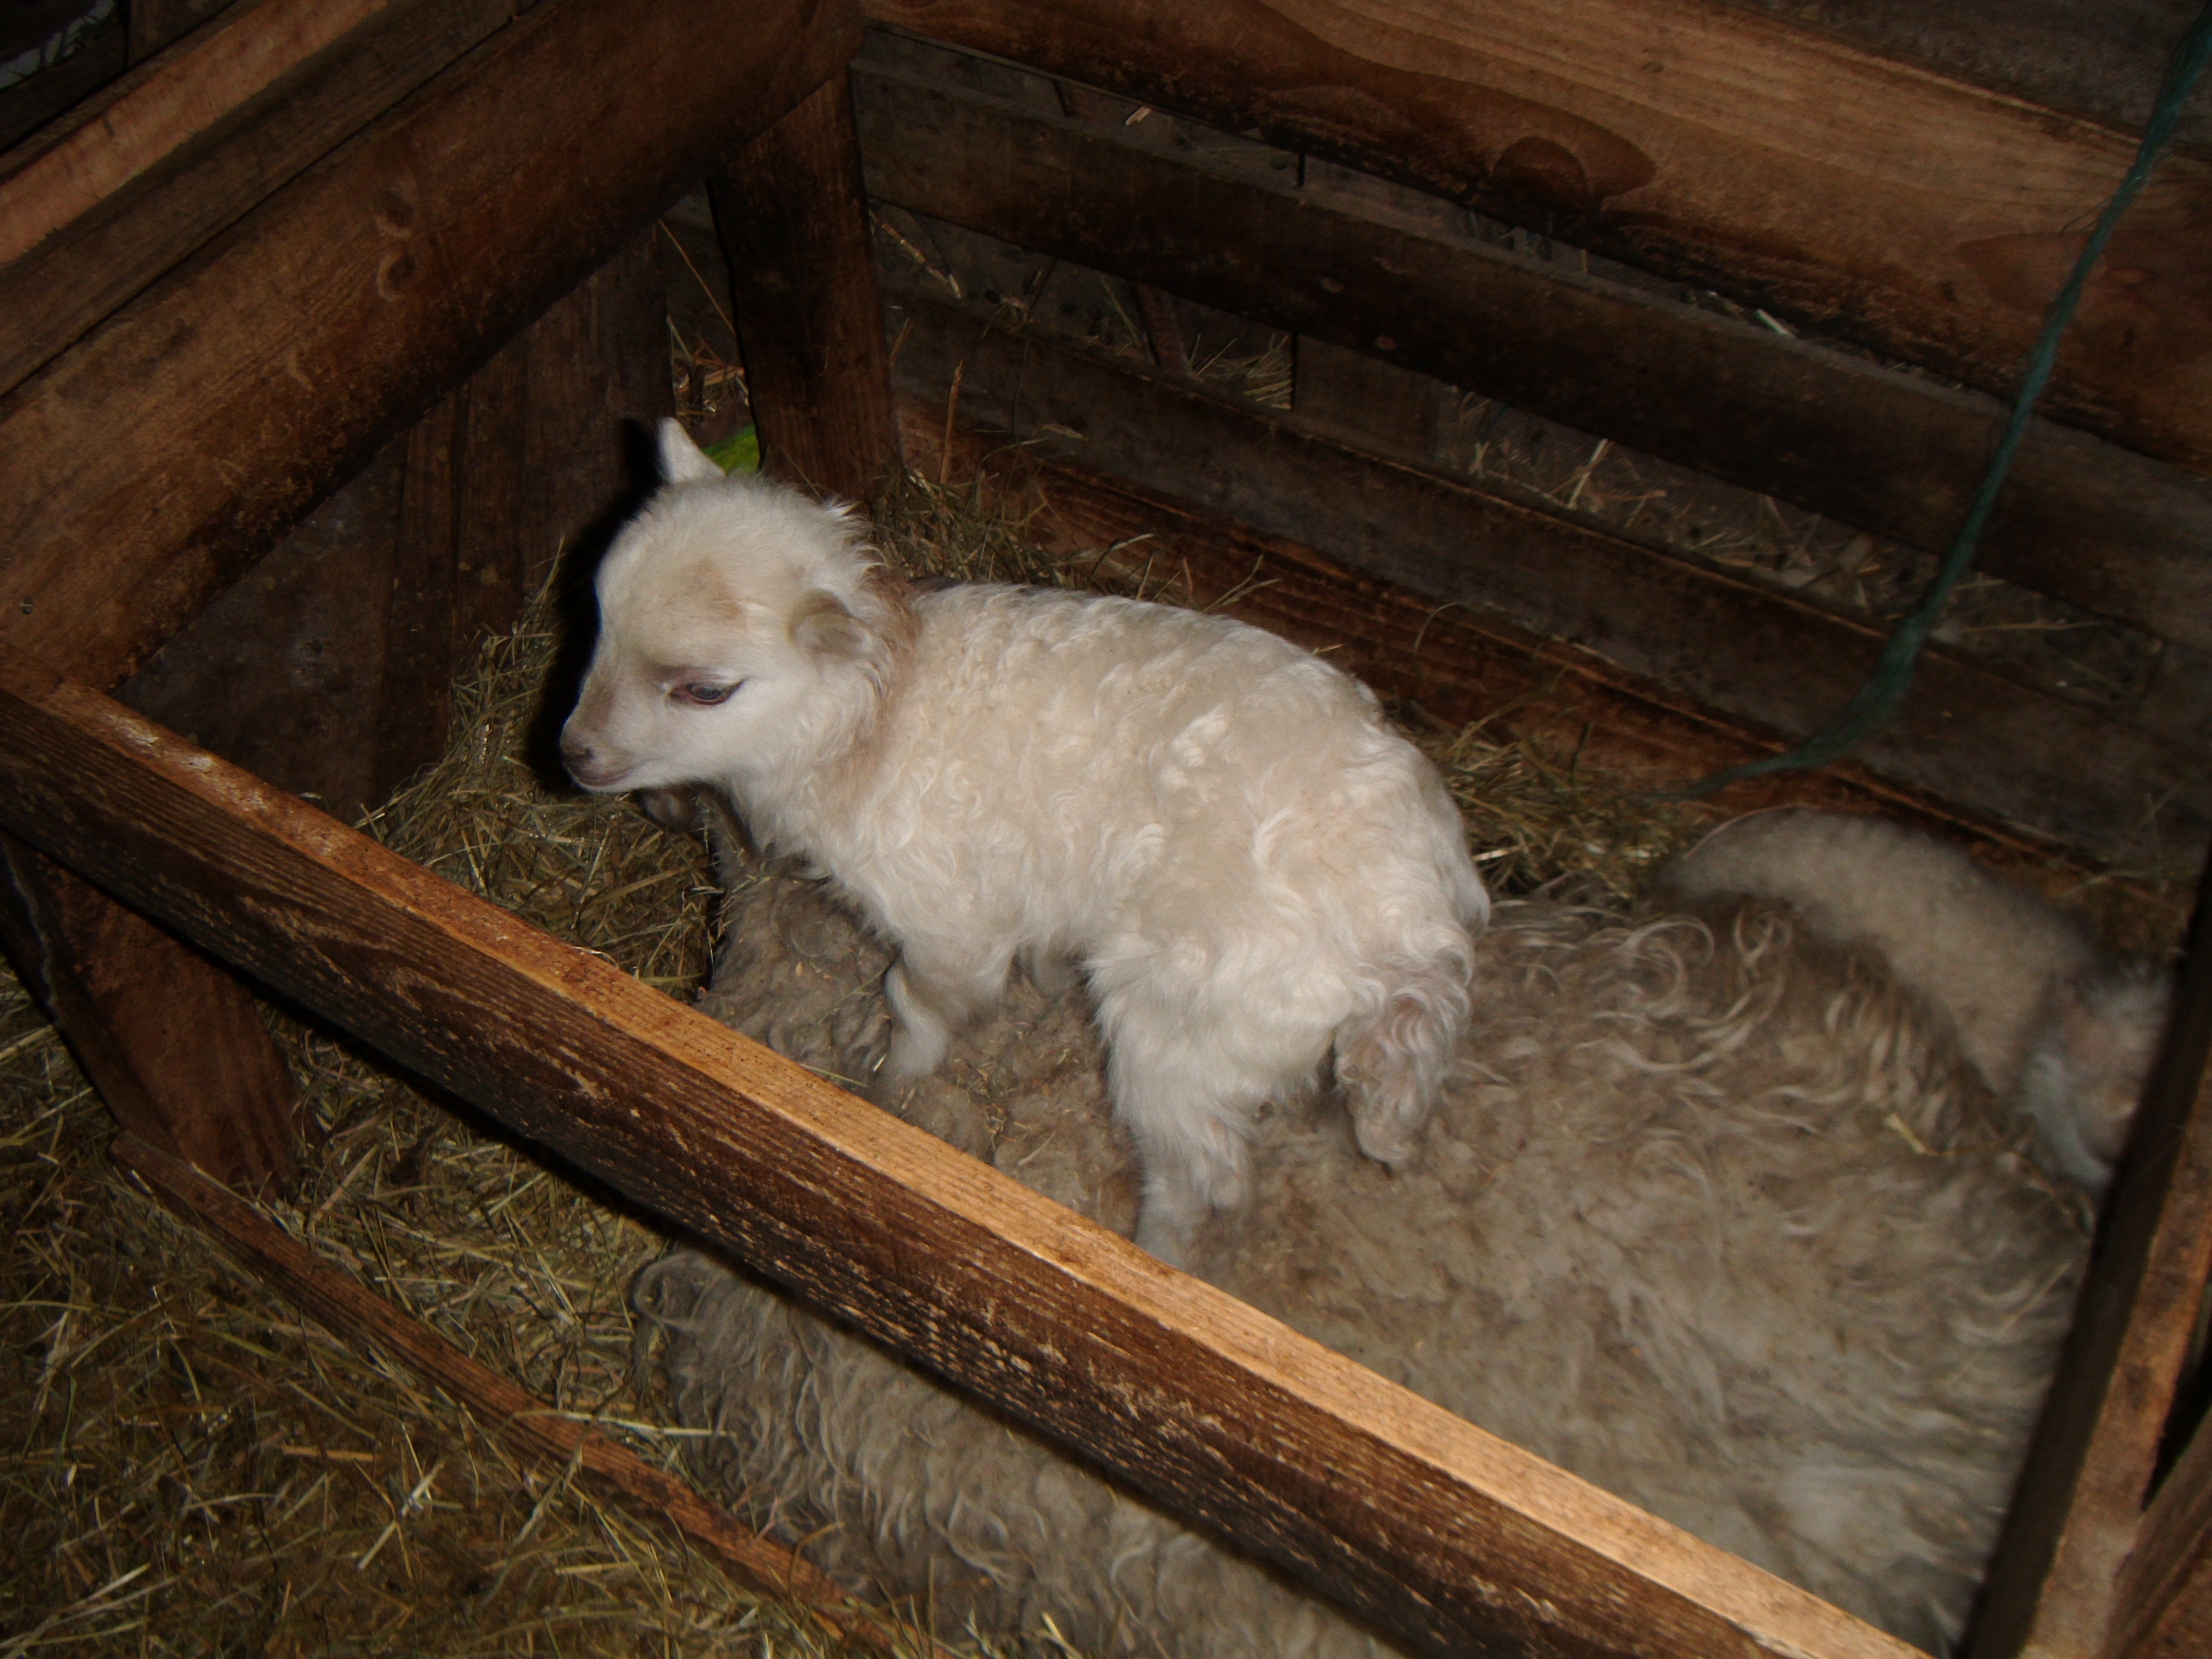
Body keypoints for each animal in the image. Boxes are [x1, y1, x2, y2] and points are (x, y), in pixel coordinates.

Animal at [562, 422, 1486, 1260]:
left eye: (707, 690)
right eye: (595, 618)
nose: (573, 754)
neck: (872, 719)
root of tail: (1409, 929)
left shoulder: (946, 917)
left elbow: (919, 998)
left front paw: (895, 1078)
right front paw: (1041, 977)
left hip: (1191, 1028)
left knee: (1204, 1178)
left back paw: (1154, 1257)